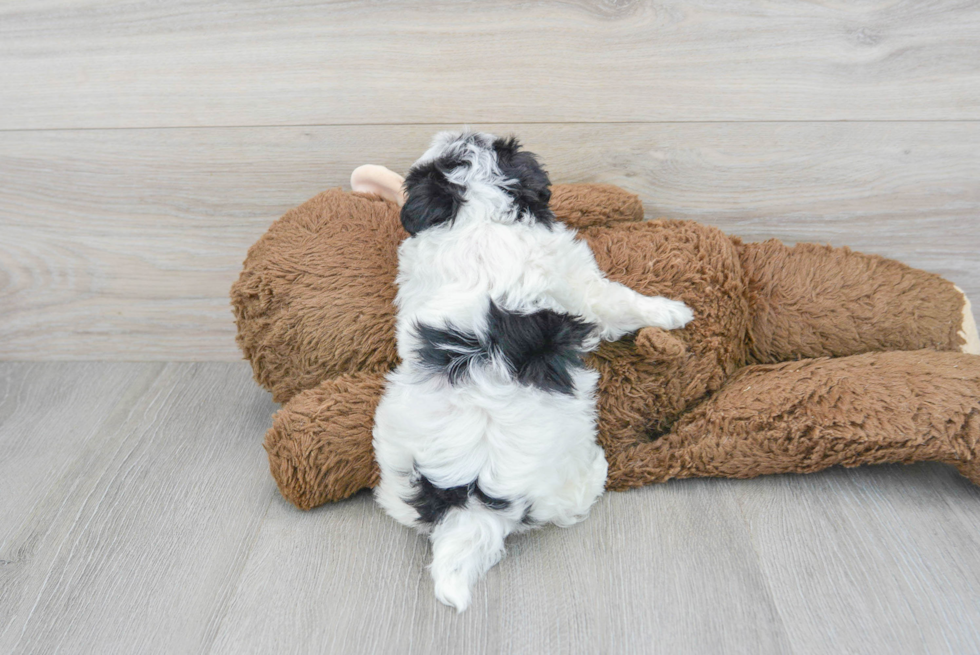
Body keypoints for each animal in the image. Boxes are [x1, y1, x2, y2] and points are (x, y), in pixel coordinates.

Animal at [372, 131, 692, 612]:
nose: (457, 130)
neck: (478, 214)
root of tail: (471, 499)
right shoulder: (581, 284)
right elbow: (622, 301)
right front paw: (672, 312)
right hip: (564, 468)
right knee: (573, 502)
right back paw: (599, 470)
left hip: (393, 449)